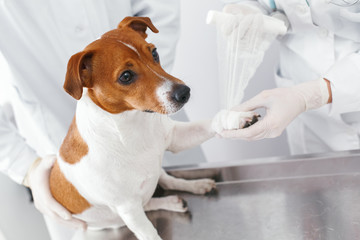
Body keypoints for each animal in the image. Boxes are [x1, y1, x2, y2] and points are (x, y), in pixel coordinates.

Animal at [50, 16, 258, 240]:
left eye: (154, 52)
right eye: (126, 76)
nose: (184, 92)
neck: (130, 127)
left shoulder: (176, 138)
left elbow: (210, 123)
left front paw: (236, 117)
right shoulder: (128, 208)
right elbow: (149, 233)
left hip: (157, 170)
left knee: (167, 181)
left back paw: (195, 185)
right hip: (114, 218)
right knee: (148, 204)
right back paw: (170, 201)